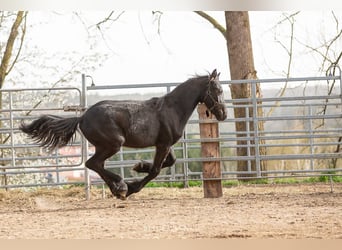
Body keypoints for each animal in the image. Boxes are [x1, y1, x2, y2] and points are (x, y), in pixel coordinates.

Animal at [19, 69, 227, 198]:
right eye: (217, 89)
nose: (223, 114)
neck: (172, 109)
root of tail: (82, 117)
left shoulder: (165, 144)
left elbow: (169, 162)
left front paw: (139, 166)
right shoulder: (163, 144)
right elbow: (156, 170)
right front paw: (133, 186)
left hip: (104, 146)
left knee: (96, 165)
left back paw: (117, 189)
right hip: (113, 144)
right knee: (93, 163)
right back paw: (121, 187)